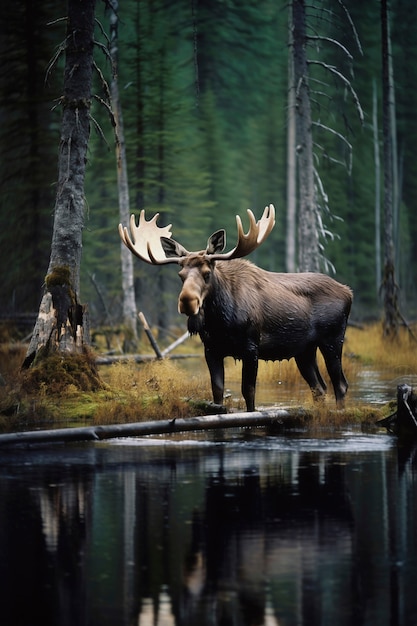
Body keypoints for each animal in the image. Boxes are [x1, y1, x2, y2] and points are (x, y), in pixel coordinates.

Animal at [118, 205, 352, 410]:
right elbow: (217, 392)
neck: (221, 321)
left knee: (340, 384)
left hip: (332, 340)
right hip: (304, 350)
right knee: (319, 388)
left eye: (207, 273)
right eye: (180, 275)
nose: (187, 301)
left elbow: (248, 392)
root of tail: (348, 292)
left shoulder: (251, 348)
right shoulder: (211, 349)